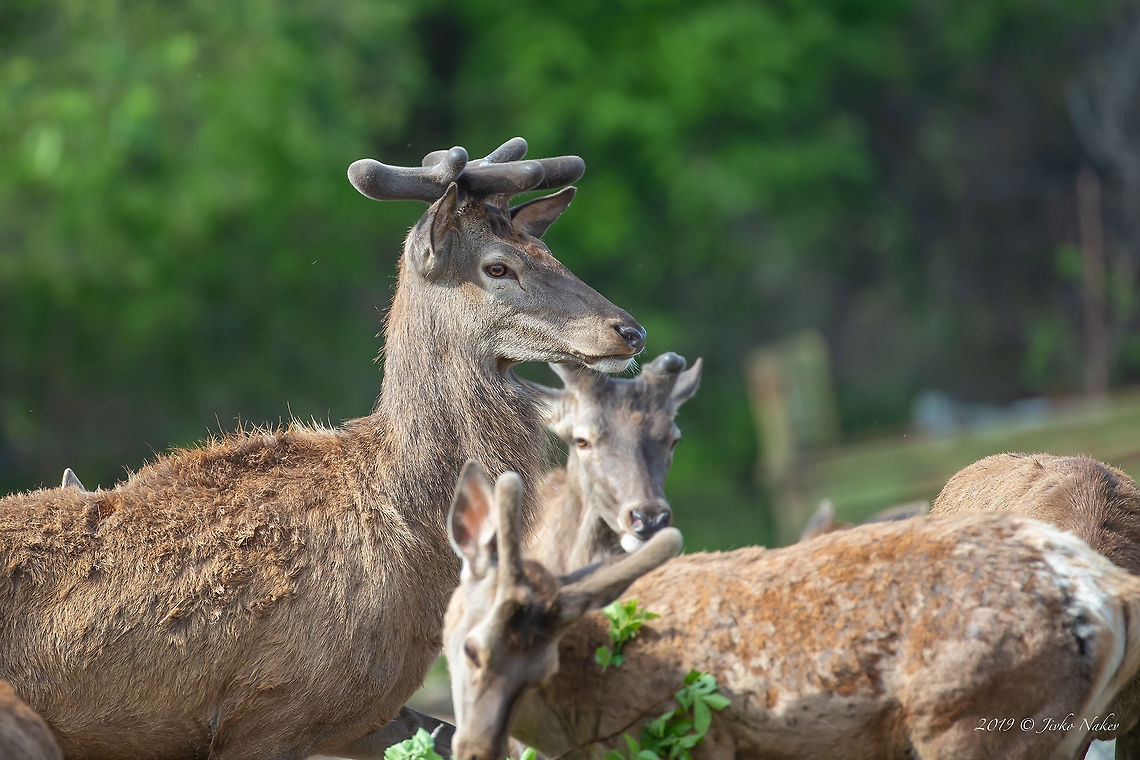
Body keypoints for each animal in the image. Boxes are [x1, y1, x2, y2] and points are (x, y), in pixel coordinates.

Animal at [0, 137, 646, 760]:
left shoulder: (363, 715)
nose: (628, 329)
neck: (416, 545)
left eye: (549, 252)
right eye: (498, 266)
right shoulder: (271, 710)